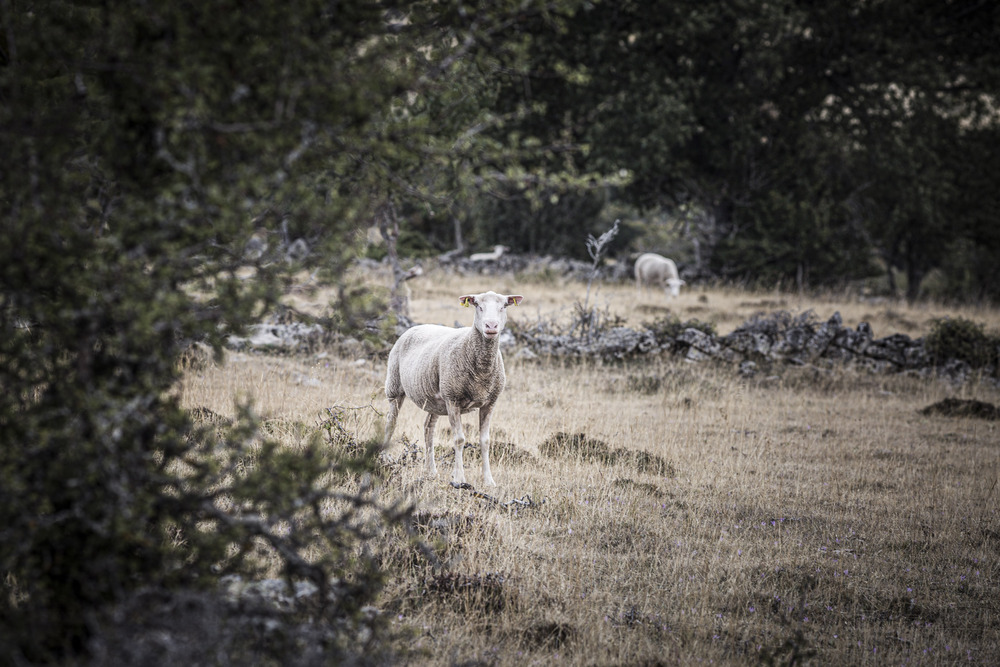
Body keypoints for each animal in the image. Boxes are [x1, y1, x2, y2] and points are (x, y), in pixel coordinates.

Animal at [382, 290, 524, 488]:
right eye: (477, 305)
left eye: (504, 306)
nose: (491, 326)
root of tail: (415, 327)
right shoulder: (453, 399)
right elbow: (459, 439)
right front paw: (459, 479)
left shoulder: (490, 402)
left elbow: (485, 441)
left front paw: (489, 481)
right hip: (395, 387)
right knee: (391, 422)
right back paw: (384, 458)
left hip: (436, 399)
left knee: (428, 428)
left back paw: (431, 471)